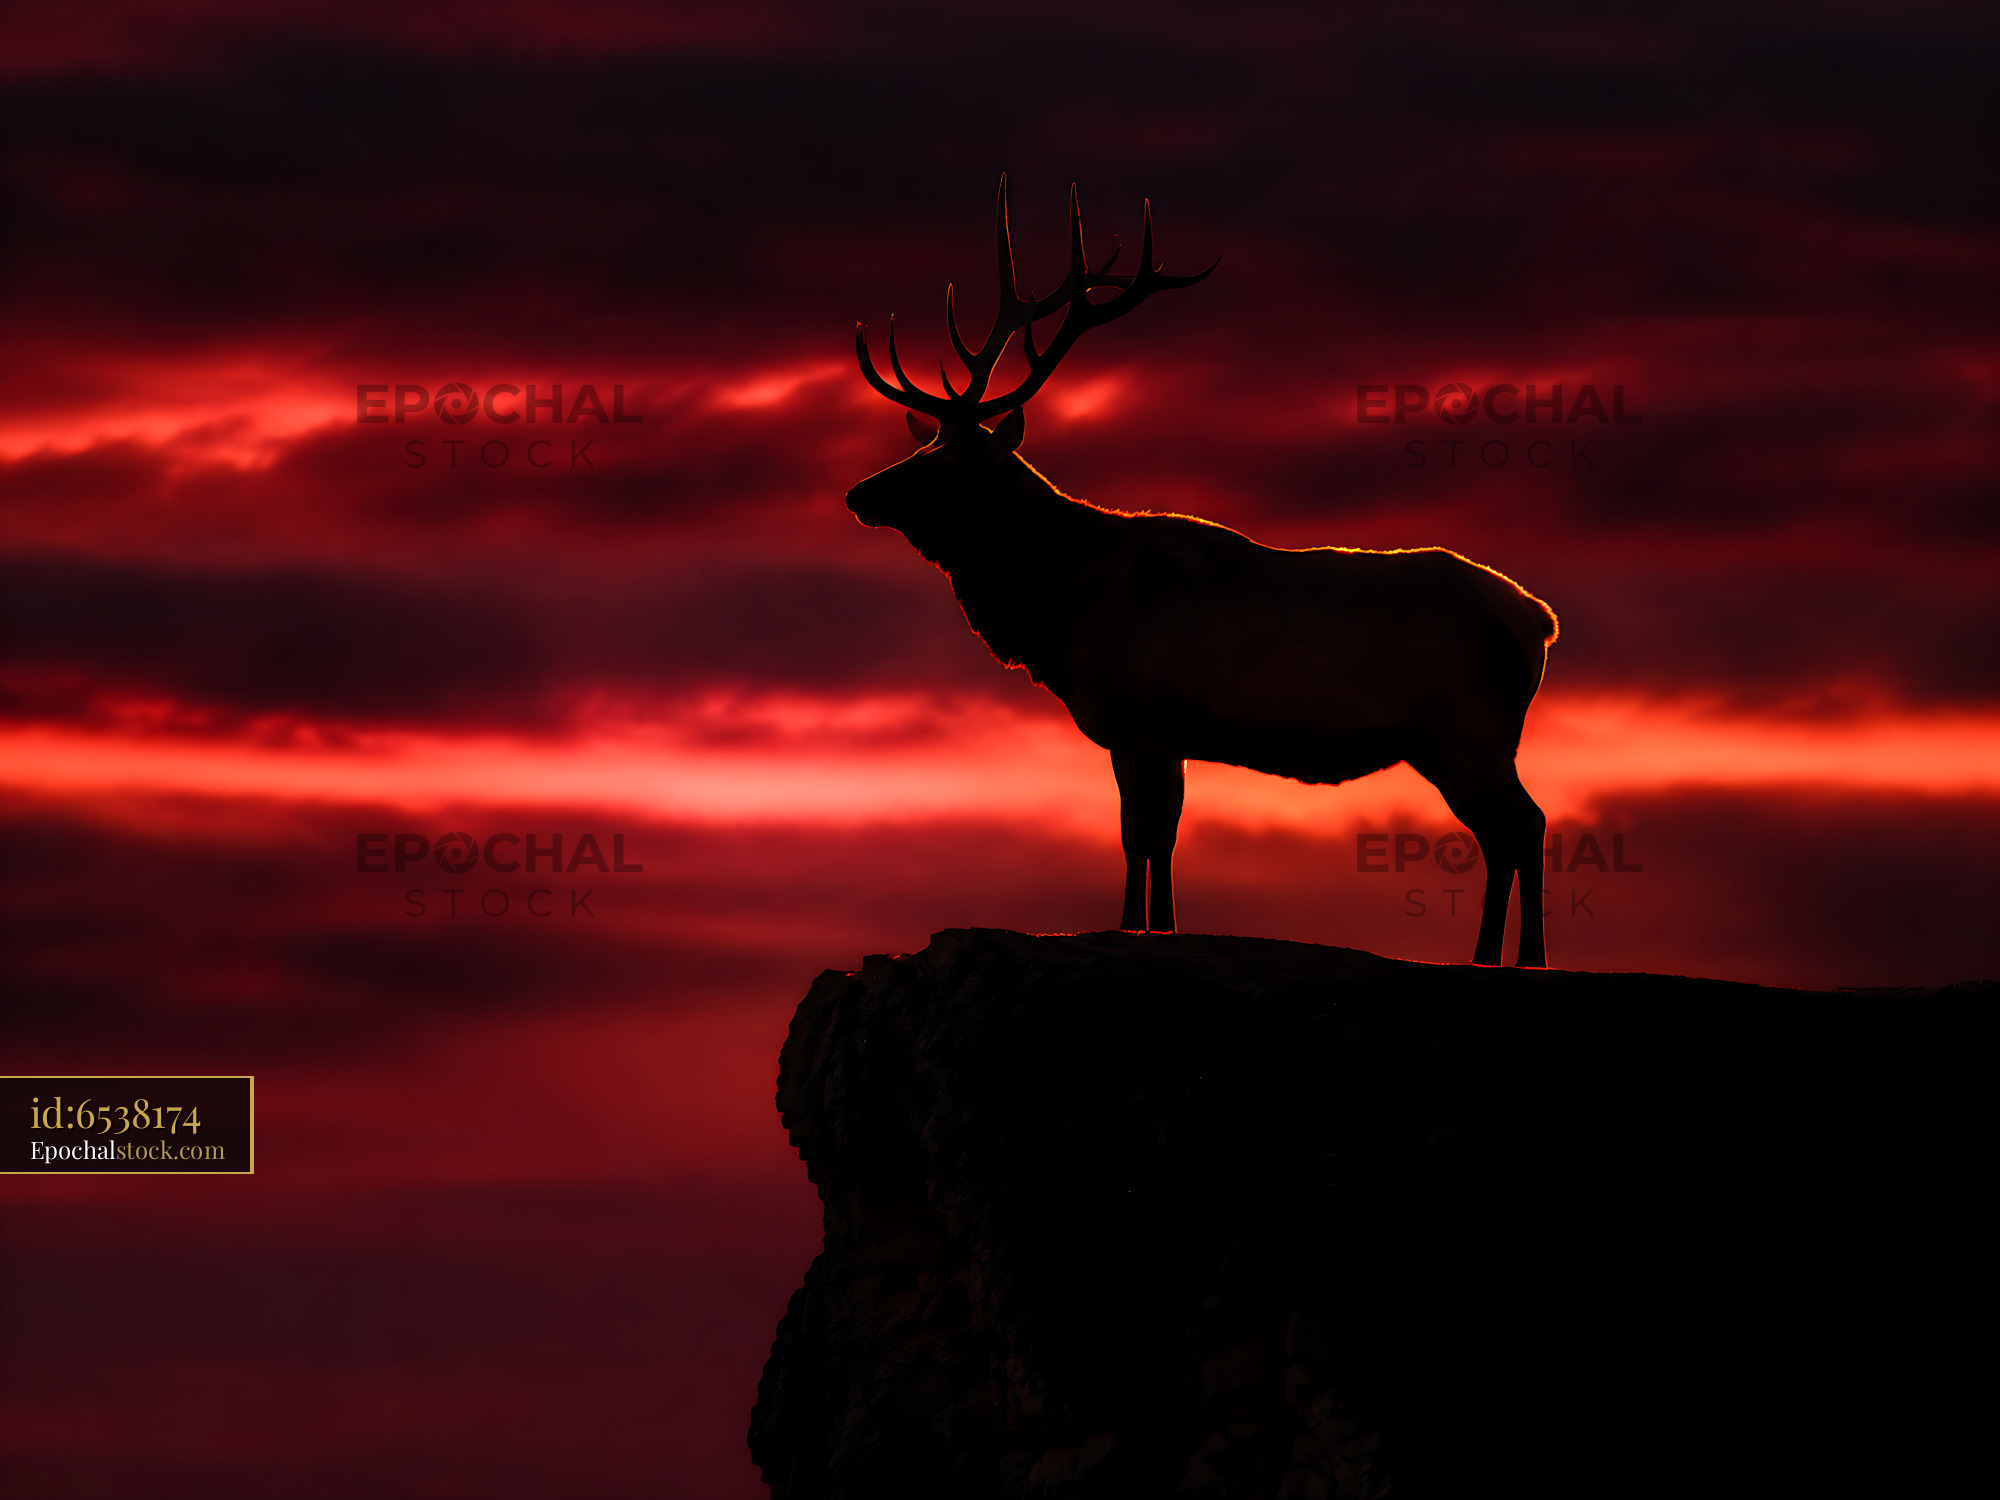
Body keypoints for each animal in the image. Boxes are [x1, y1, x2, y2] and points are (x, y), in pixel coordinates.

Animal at [848, 179, 1559, 967]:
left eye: (944, 465)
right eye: (920, 448)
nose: (858, 495)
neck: (1060, 607)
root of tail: (1538, 620)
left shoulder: (1148, 717)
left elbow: (1147, 833)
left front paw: (1140, 927)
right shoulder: (1148, 732)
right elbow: (1150, 836)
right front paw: (1153, 923)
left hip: (1472, 727)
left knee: (1525, 823)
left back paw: (1526, 958)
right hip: (1447, 742)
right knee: (1502, 832)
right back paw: (1487, 956)